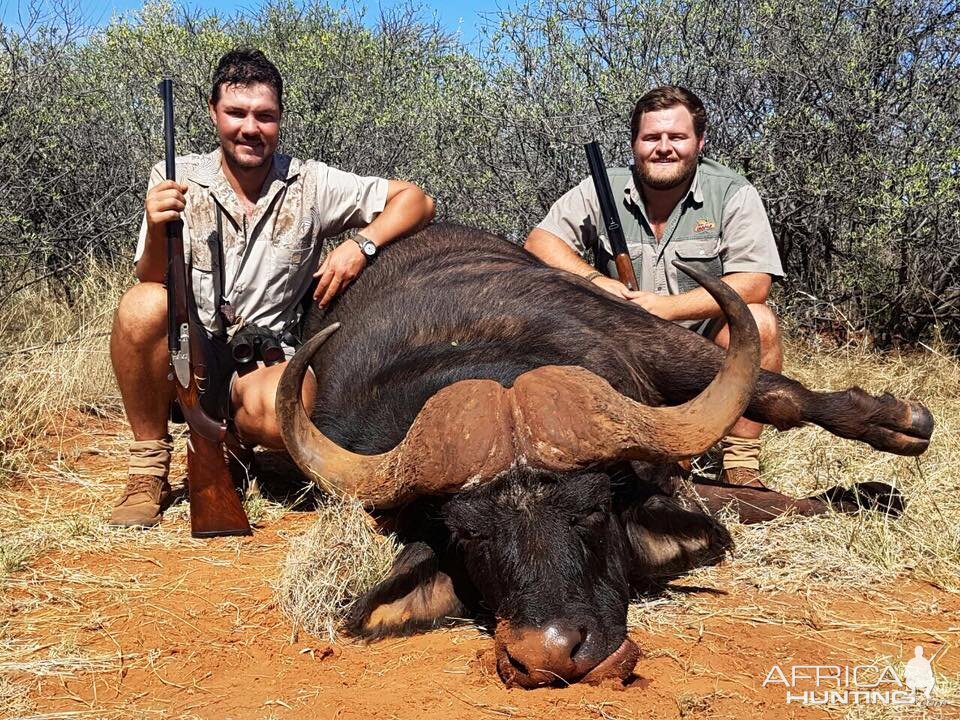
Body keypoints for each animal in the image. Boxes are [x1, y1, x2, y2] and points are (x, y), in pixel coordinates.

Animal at [272, 222, 928, 688]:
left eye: (590, 511)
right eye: (469, 536)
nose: (551, 653)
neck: (464, 346)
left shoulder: (649, 355)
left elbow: (779, 403)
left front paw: (885, 457)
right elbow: (750, 505)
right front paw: (864, 496)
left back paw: (902, 427)